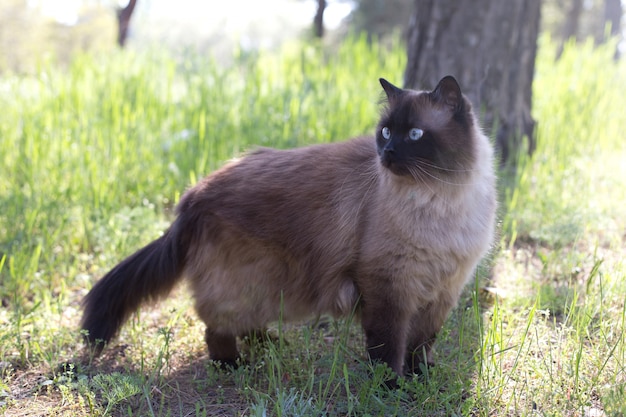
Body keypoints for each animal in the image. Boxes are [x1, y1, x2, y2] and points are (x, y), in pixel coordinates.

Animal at [80, 74, 494, 380]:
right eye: (387, 132)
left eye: (415, 135)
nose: (387, 154)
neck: (439, 202)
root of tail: (193, 194)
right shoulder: (388, 288)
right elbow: (388, 347)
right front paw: (391, 386)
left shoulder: (443, 290)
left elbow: (422, 343)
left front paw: (421, 376)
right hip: (252, 281)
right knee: (216, 329)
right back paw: (233, 366)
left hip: (269, 285)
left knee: (242, 323)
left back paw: (270, 344)